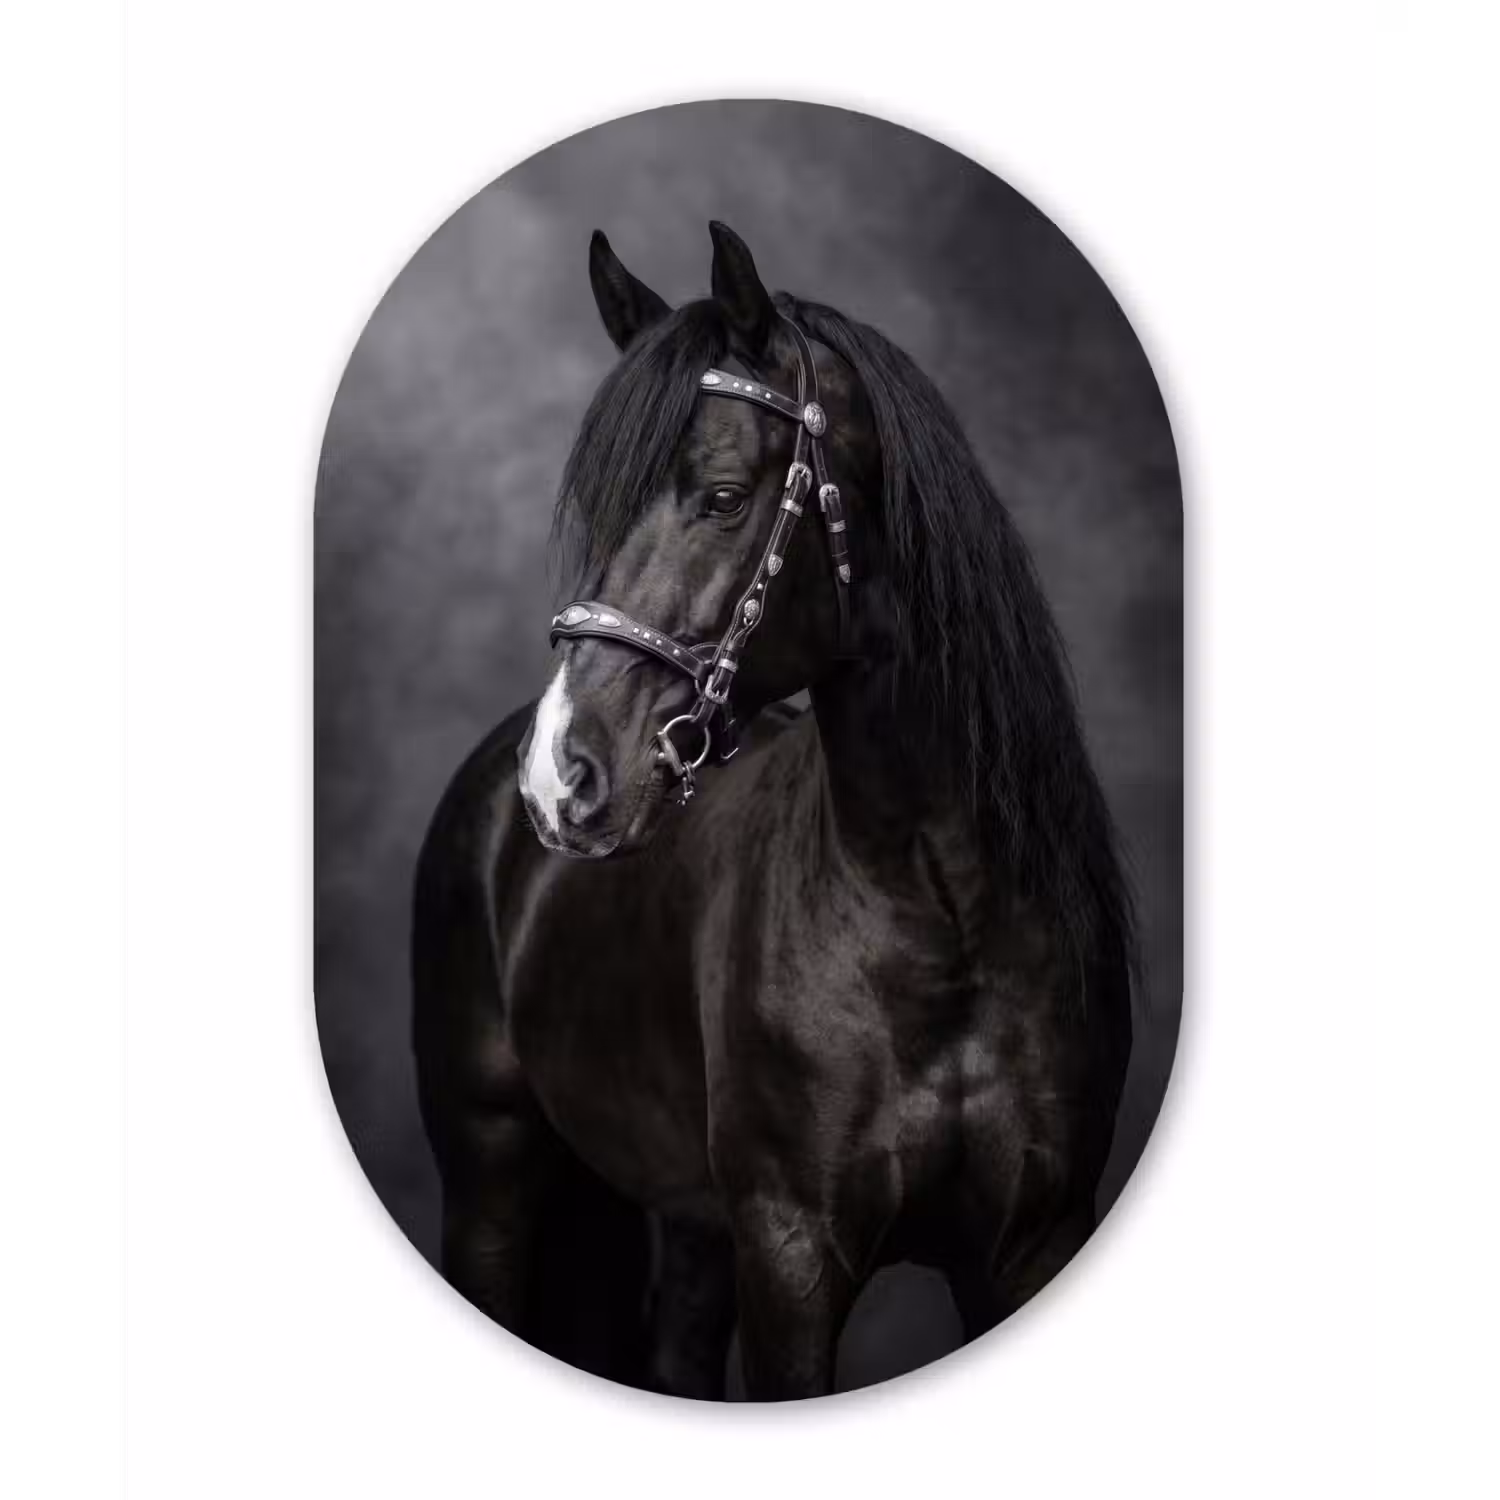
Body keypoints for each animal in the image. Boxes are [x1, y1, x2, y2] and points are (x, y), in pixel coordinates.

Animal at [412, 221, 1135, 1401]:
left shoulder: (1029, 1242)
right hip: (493, 1180)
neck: (942, 915)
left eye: (719, 496)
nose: (559, 775)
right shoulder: (792, 1254)